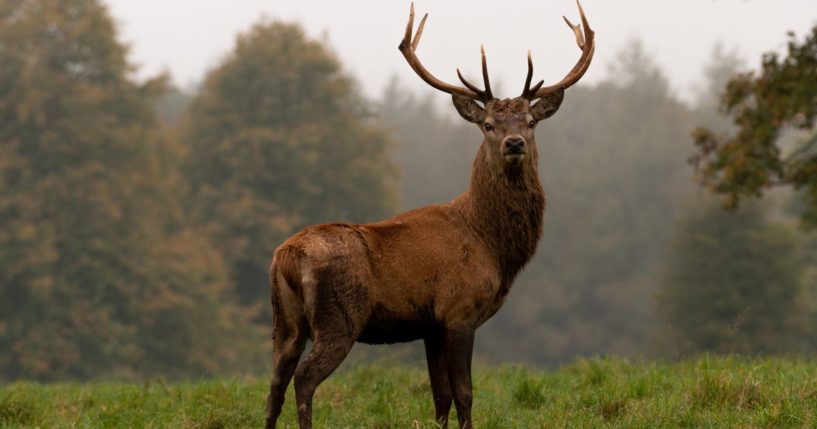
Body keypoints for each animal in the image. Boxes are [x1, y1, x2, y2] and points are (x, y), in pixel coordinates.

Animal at [266, 1, 592, 426]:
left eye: (531, 122)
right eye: (489, 124)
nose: (514, 142)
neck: (491, 244)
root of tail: (286, 257)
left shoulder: (430, 326)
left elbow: (441, 396)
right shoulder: (458, 310)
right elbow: (465, 393)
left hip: (285, 321)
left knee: (275, 382)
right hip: (339, 315)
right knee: (304, 378)